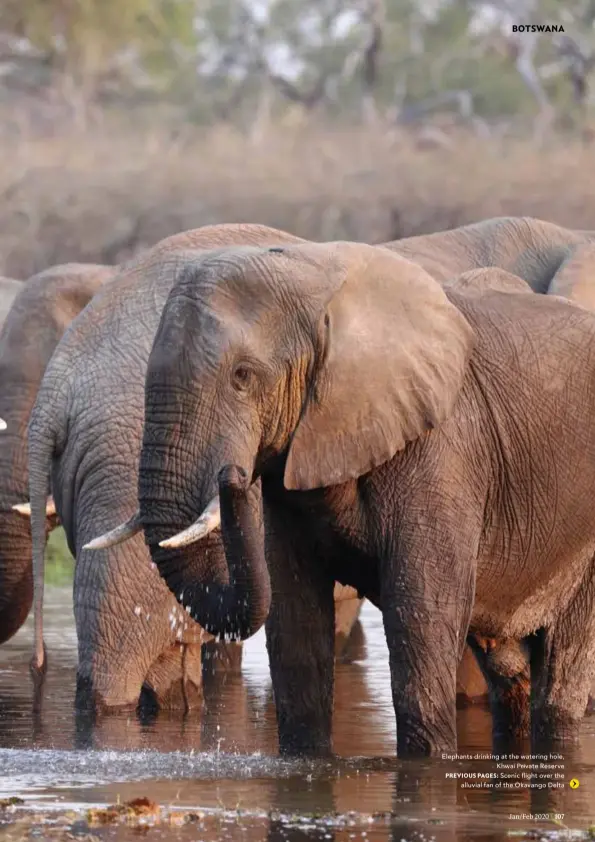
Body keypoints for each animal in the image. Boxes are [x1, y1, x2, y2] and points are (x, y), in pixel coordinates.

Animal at [95, 240, 595, 756]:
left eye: (242, 376)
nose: (232, 474)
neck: (320, 279)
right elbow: (295, 618)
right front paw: (306, 761)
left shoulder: (444, 449)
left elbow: (421, 616)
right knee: (509, 674)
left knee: (560, 677)